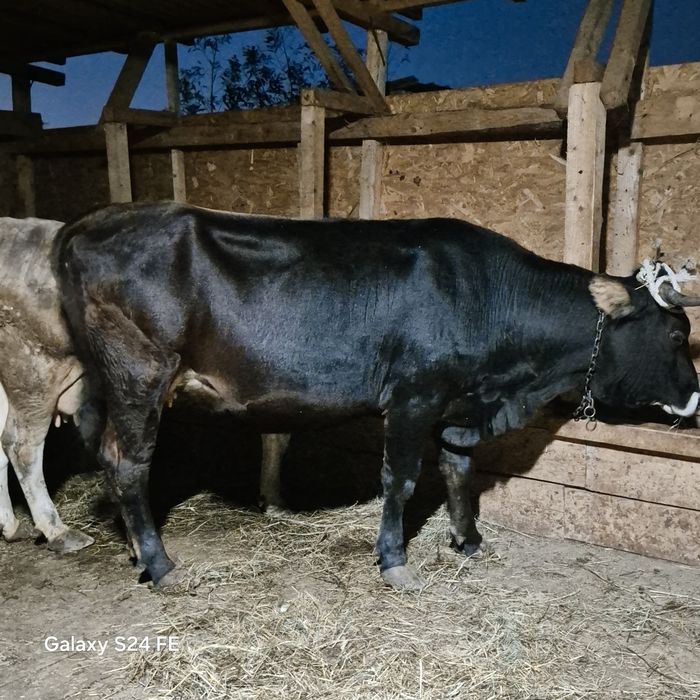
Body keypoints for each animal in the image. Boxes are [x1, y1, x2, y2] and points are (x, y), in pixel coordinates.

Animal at [54, 202, 700, 590]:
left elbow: (459, 471)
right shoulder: (415, 394)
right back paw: (159, 563)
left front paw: (468, 542)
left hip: (113, 379)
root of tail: (89, 223)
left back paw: (136, 553)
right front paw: (395, 562)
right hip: (140, 374)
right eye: (676, 334)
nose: (695, 398)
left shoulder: (456, 402)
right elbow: (402, 479)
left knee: (108, 456)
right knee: (129, 464)